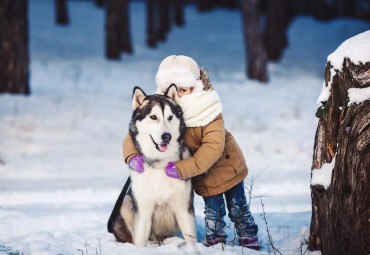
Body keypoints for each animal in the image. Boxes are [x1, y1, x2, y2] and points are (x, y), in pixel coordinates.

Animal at [107, 85, 197, 247]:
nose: (166, 136)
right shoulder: (143, 209)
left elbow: (191, 238)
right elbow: (140, 240)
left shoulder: (184, 208)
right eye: (153, 117)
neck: (160, 164)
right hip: (126, 202)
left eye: (170, 117)